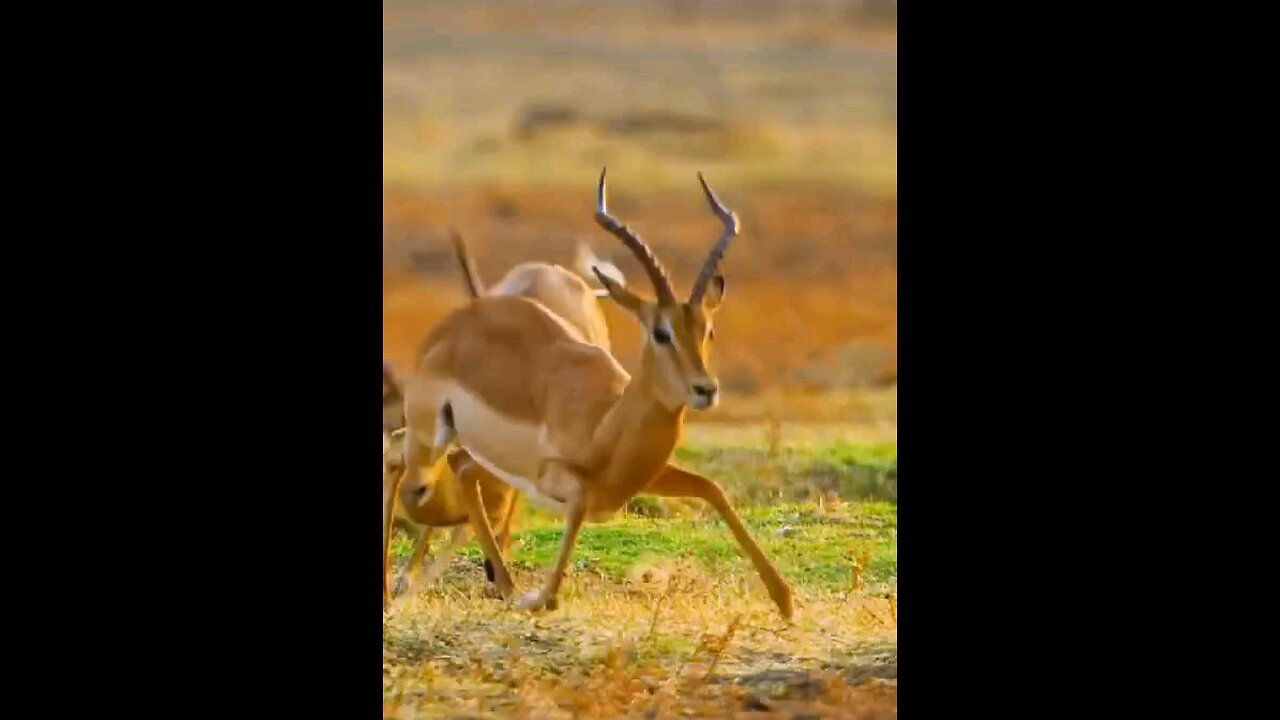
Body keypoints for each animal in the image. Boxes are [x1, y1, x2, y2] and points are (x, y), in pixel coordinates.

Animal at [394, 167, 793, 617]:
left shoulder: (643, 479)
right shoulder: (558, 480)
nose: (705, 390)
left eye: (707, 330)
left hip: (468, 451)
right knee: (408, 468)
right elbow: (572, 527)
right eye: (661, 332)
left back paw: (497, 584)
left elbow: (712, 488)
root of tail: (456, 323)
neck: (606, 423)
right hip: (429, 439)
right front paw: (536, 596)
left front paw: (784, 599)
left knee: (458, 468)